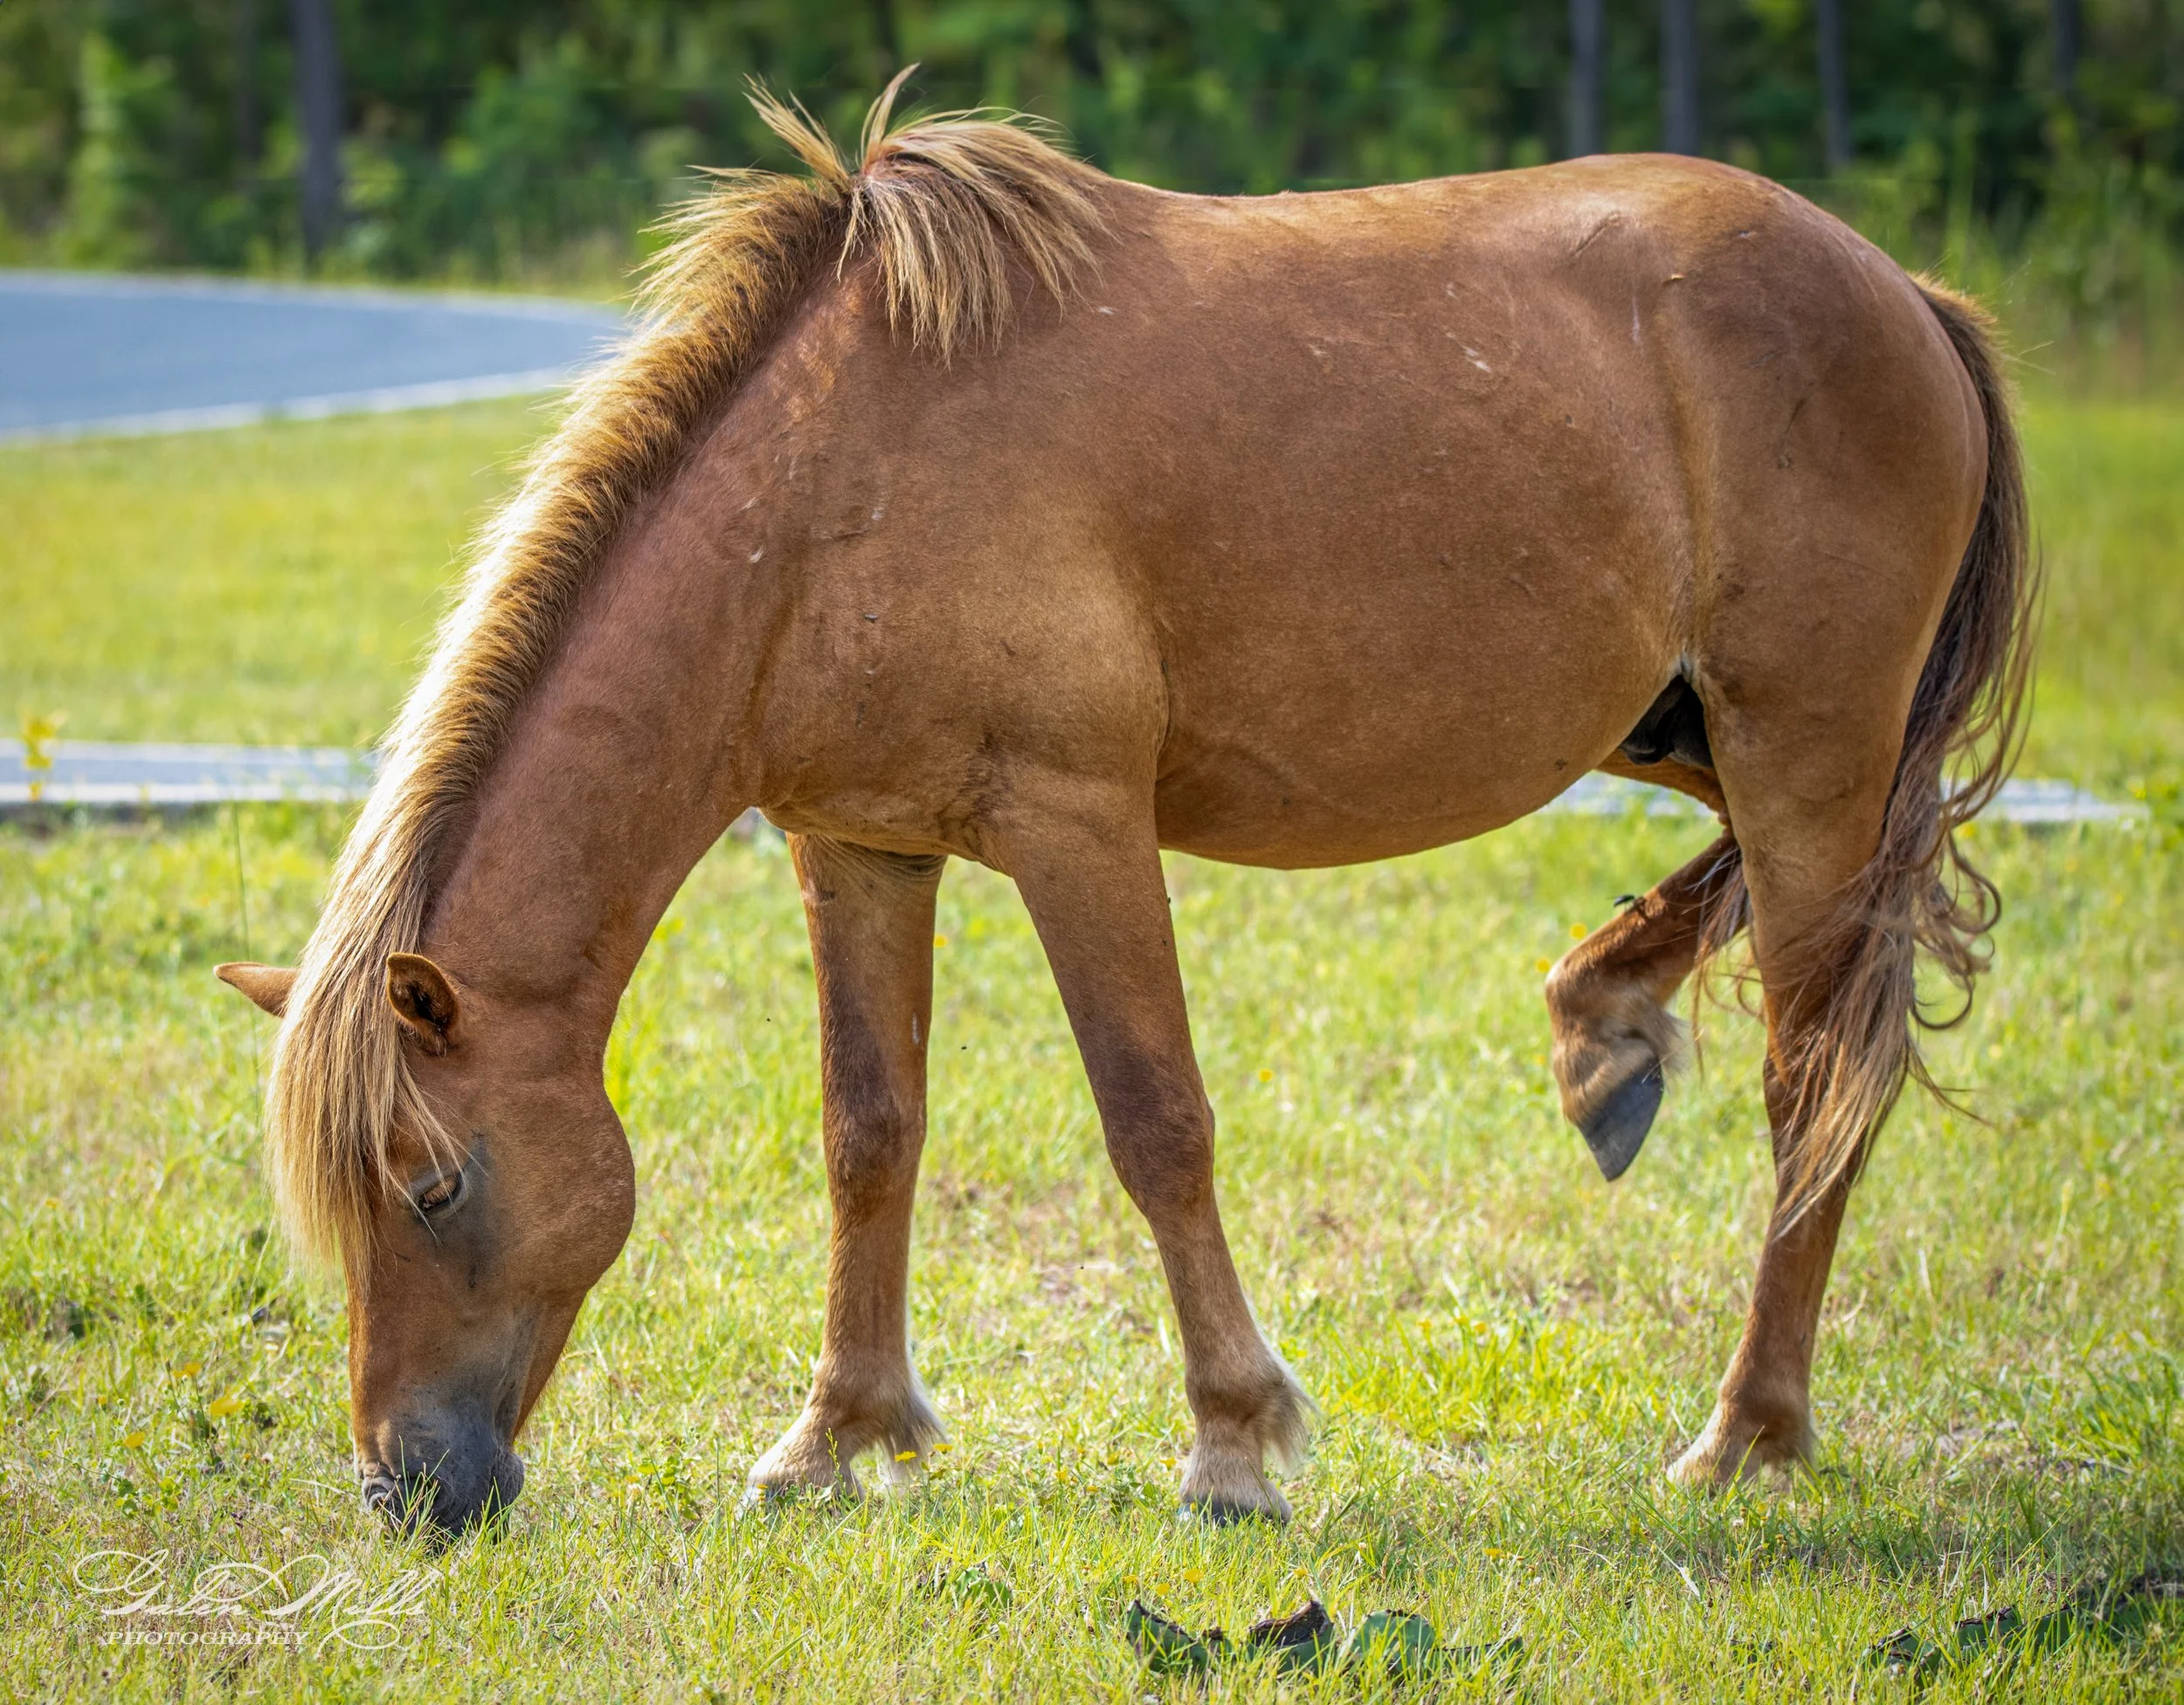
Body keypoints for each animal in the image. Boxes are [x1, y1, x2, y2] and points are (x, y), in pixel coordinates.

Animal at [216, 77, 2033, 1534]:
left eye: (433, 1185)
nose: (402, 1485)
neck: (829, 497)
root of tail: (1904, 291)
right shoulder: (859, 846)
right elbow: (870, 1131)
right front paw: (836, 1436)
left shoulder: (1076, 827)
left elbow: (1156, 1123)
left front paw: (1233, 1445)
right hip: (1696, 733)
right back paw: (1607, 1025)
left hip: (1804, 751)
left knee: (1818, 1083)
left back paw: (1747, 1432)